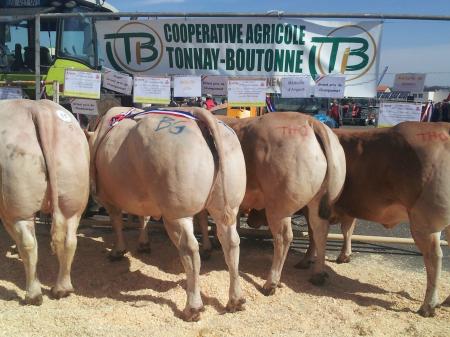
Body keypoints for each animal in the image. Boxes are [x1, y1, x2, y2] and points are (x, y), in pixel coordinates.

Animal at [0, 98, 90, 304]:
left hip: (15, 204)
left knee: (28, 243)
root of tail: (37, 108)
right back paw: (62, 289)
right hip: (73, 198)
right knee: (69, 240)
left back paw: (33, 295)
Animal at [87, 107, 246, 320]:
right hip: (227, 206)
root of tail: (200, 117)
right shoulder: (143, 197)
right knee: (231, 242)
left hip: (176, 212)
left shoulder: (108, 198)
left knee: (189, 249)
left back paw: (193, 307)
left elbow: (117, 221)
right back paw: (235, 300)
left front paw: (118, 250)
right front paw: (143, 243)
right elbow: (143, 217)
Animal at [199, 111, 346, 294]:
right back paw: (317, 274)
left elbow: (202, 221)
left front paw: (206, 248)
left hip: (278, 206)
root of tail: (311, 121)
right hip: (316, 203)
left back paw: (271, 283)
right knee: (319, 230)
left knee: (284, 237)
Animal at [298, 122, 450, 316]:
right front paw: (344, 255)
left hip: (424, 223)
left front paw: (308, 261)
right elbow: (347, 230)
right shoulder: (349, 209)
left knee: (434, 256)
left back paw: (428, 306)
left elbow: (314, 235)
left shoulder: (312, 208)